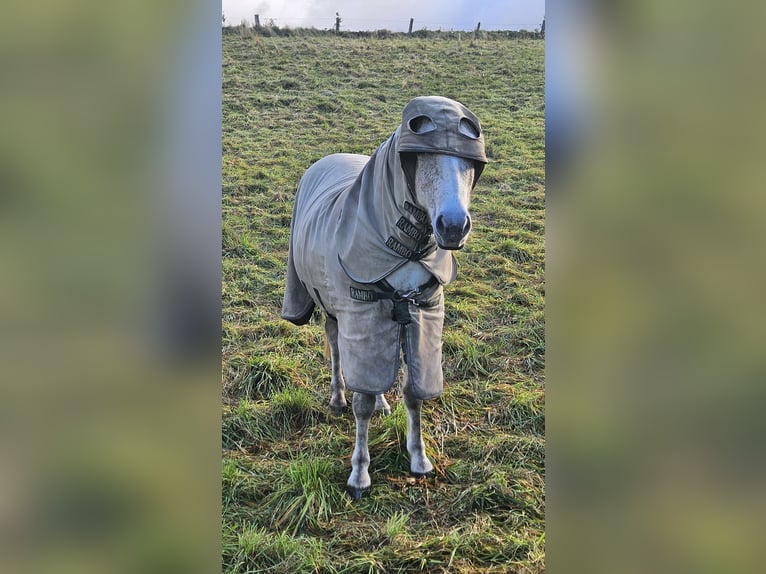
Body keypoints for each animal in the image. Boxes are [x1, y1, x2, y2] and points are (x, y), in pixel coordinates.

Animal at [280, 95, 486, 500]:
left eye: (469, 163)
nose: (453, 226)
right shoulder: (360, 317)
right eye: (420, 158)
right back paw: (337, 398)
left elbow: (413, 391)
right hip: (335, 311)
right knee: (336, 349)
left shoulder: (420, 318)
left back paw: (382, 403)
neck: (405, 251)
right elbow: (360, 404)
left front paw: (419, 460)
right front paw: (359, 474)